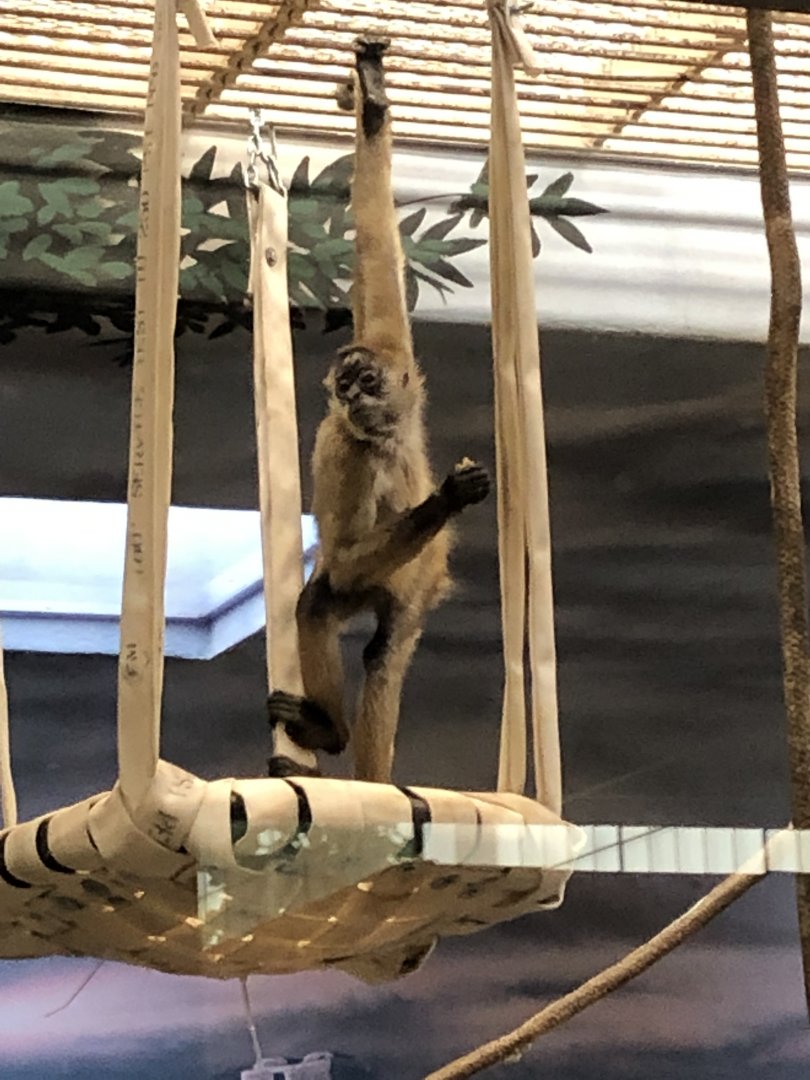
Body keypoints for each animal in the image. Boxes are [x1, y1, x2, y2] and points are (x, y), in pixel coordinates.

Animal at [267, 37, 490, 784]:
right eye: (345, 390)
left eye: (367, 381)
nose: (354, 398)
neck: (385, 439)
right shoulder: (347, 452)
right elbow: (339, 558)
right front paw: (446, 499)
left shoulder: (394, 348)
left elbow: (375, 252)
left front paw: (373, 102)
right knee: (322, 600)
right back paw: (332, 735)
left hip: (411, 587)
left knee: (386, 654)